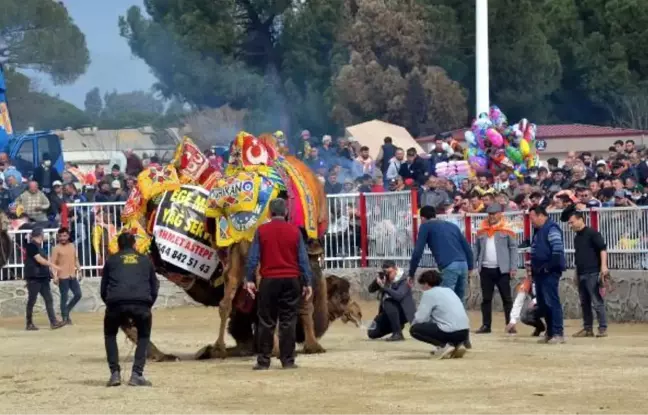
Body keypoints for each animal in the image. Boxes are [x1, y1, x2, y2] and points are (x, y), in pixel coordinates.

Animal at [103, 134, 362, 360]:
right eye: (344, 296)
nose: (358, 313)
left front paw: (211, 350)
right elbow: (300, 306)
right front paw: (311, 346)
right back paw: (162, 354)